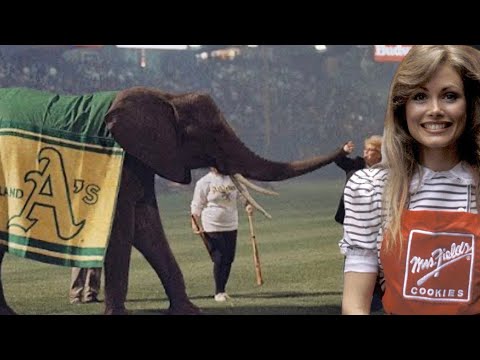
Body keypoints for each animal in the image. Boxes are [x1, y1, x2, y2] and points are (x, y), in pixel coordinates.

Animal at [0, 87, 344, 316]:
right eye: (213, 132)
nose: (346, 148)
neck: (167, 96)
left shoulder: (143, 158)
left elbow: (147, 226)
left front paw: (189, 311)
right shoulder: (121, 163)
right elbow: (123, 228)